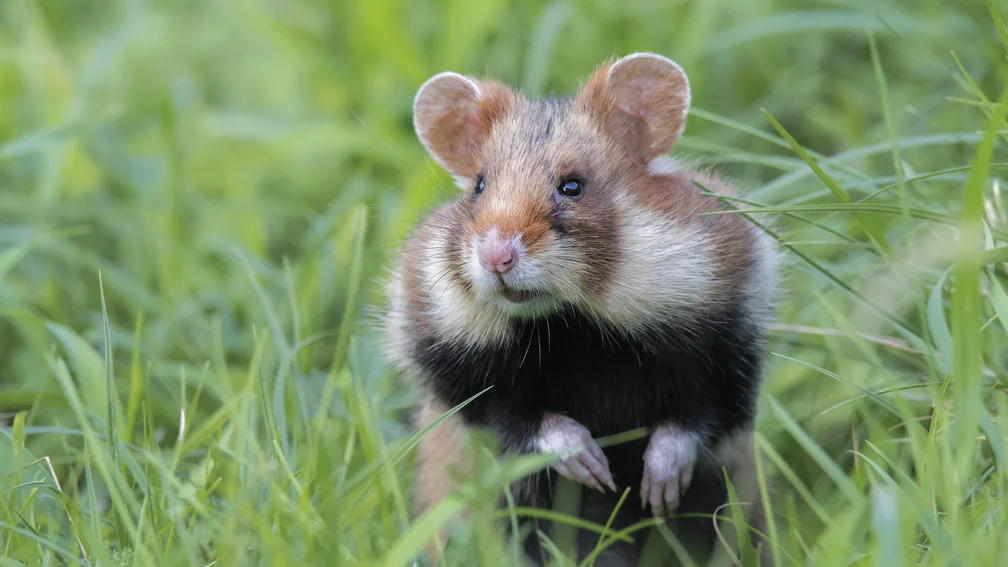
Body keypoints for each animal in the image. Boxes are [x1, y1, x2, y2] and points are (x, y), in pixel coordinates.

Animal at [381, 52, 781, 567]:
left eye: (572, 186)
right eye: (478, 186)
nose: (496, 258)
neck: (572, 326)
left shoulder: (730, 343)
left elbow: (695, 419)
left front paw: (656, 490)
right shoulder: (461, 374)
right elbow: (517, 419)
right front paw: (594, 468)